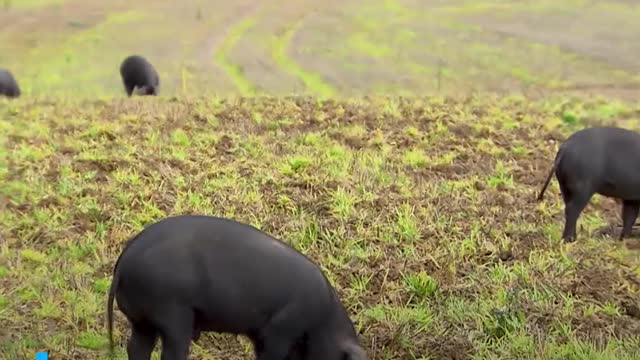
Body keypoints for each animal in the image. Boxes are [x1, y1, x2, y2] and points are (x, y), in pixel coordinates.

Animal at [107, 215, 368, 358]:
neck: (322, 323)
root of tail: (126, 257)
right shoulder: (278, 333)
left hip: (142, 320)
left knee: (136, 348)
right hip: (172, 315)